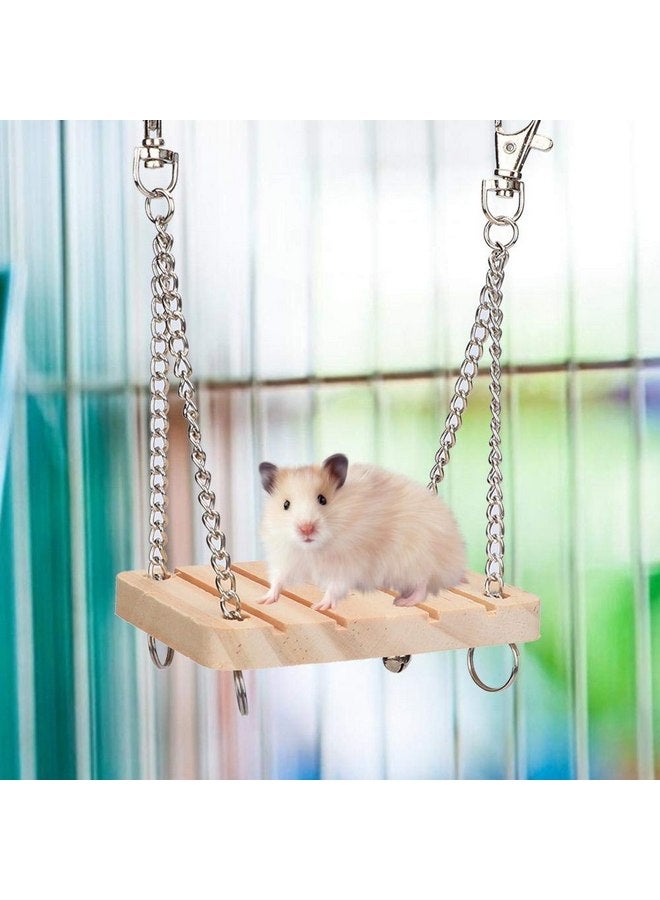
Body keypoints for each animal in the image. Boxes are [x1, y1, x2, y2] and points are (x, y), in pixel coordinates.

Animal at [258, 453, 467, 611]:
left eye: (322, 499)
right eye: (286, 504)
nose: (306, 529)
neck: (313, 549)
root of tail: (457, 563)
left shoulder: (347, 564)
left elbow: (334, 587)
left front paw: (320, 606)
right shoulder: (285, 557)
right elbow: (278, 579)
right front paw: (264, 599)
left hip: (416, 558)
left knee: (423, 583)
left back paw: (403, 601)